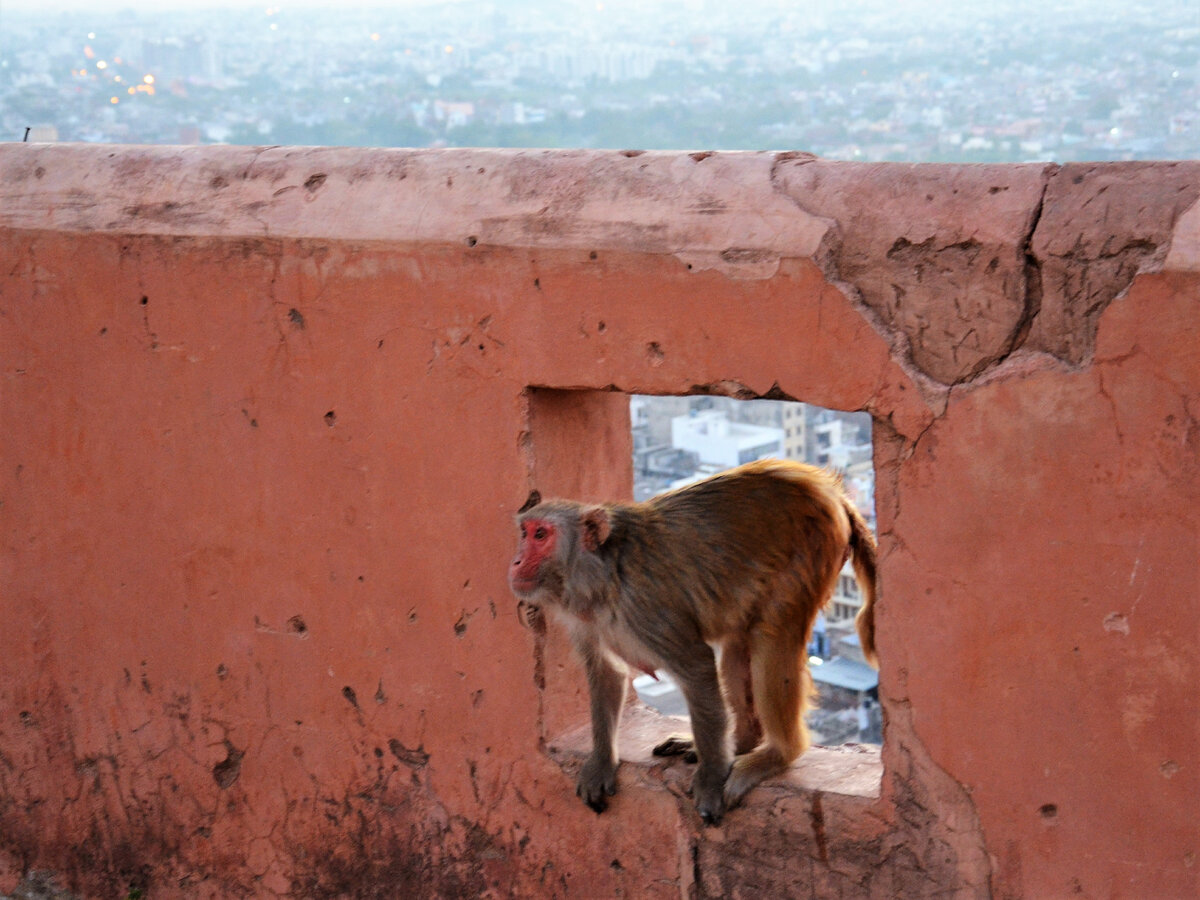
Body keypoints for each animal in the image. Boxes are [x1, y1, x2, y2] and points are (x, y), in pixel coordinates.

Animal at [508, 460, 883, 830]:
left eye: (541, 535)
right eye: (525, 533)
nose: (515, 561)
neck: (604, 574)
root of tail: (830, 490)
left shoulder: (647, 608)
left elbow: (697, 665)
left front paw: (711, 779)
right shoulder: (584, 620)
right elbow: (606, 673)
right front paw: (601, 761)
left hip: (811, 549)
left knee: (771, 636)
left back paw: (776, 754)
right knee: (738, 644)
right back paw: (741, 741)